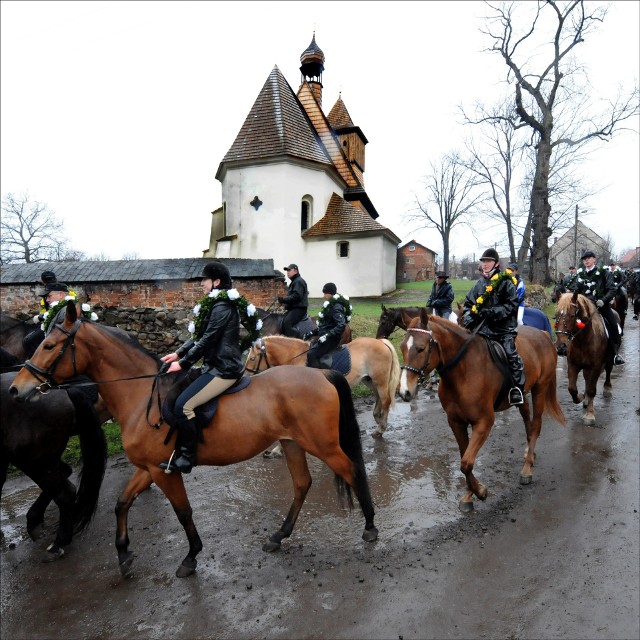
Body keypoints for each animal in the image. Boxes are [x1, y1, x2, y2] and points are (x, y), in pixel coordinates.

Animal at [7, 302, 378, 576]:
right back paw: (278, 536)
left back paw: (371, 528)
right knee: (302, 484)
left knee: (352, 471)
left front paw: (190, 557)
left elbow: (183, 512)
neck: (140, 394)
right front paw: (124, 554)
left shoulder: (164, 472)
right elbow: (121, 503)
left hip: (322, 444)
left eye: (49, 345)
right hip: (291, 443)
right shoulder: (149, 467)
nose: (16, 389)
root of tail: (322, 374)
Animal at [245, 336, 400, 440]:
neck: (296, 358)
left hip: (380, 380)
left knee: (385, 400)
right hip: (369, 380)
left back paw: (381, 428)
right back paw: (378, 419)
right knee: (379, 397)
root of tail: (380, 341)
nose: (246, 378)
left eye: (252, 358)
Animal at [400, 308, 564, 512]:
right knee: (527, 417)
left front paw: (480, 492)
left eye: (421, 348)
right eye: (402, 347)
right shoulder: (456, 422)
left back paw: (527, 469)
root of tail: (543, 334)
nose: (405, 392)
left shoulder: (484, 423)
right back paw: (529, 453)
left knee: (536, 424)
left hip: (540, 389)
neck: (462, 372)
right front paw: (469, 495)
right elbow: (465, 458)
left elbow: (466, 462)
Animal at [556, 292, 616, 428]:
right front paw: (580, 397)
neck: (583, 341)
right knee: (587, 379)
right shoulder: (573, 365)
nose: (561, 347)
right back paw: (586, 399)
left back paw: (607, 388)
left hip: (607, 361)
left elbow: (592, 389)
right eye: (555, 316)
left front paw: (589, 415)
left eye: (572, 315)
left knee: (608, 371)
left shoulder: (595, 366)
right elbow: (572, 388)